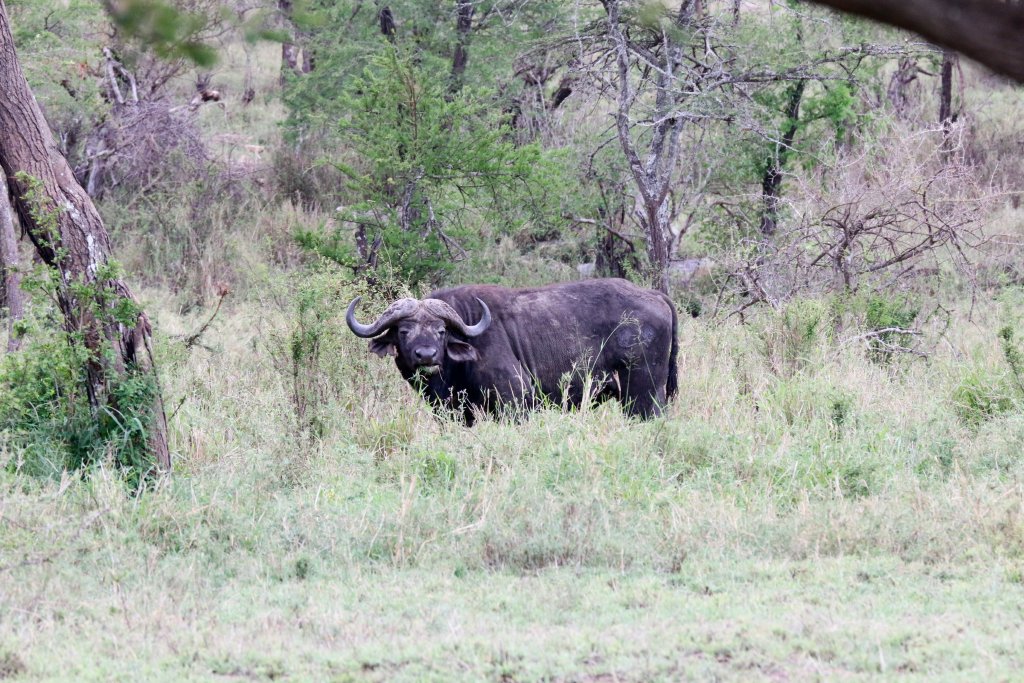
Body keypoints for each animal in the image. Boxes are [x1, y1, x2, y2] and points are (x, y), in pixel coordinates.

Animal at [346, 278, 678, 423]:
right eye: (404, 331)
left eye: (441, 331)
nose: (426, 355)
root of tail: (655, 294)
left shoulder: (516, 400)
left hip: (643, 395)